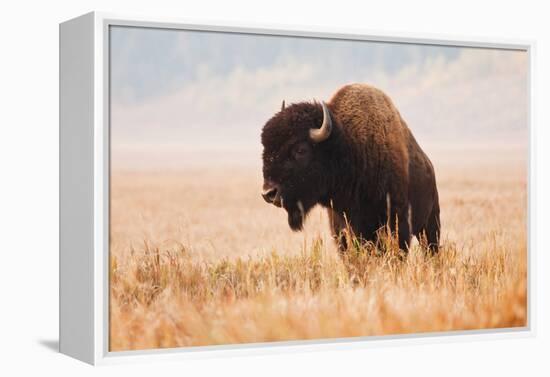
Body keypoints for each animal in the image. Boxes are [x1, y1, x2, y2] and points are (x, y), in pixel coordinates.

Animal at [260, 82, 442, 253]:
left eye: (300, 150)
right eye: (265, 148)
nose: (268, 193)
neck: (350, 147)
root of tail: (429, 165)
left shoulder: (397, 223)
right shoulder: (341, 229)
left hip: (430, 225)